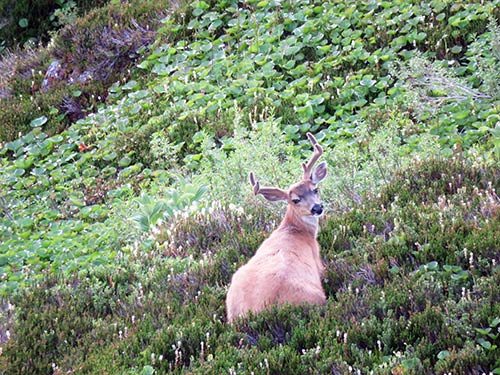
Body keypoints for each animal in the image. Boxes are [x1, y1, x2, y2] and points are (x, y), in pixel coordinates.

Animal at [227, 132, 328, 324]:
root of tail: (257, 311)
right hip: (315, 297)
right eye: (295, 200)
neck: (294, 231)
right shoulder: (319, 263)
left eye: (315, 189)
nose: (317, 208)